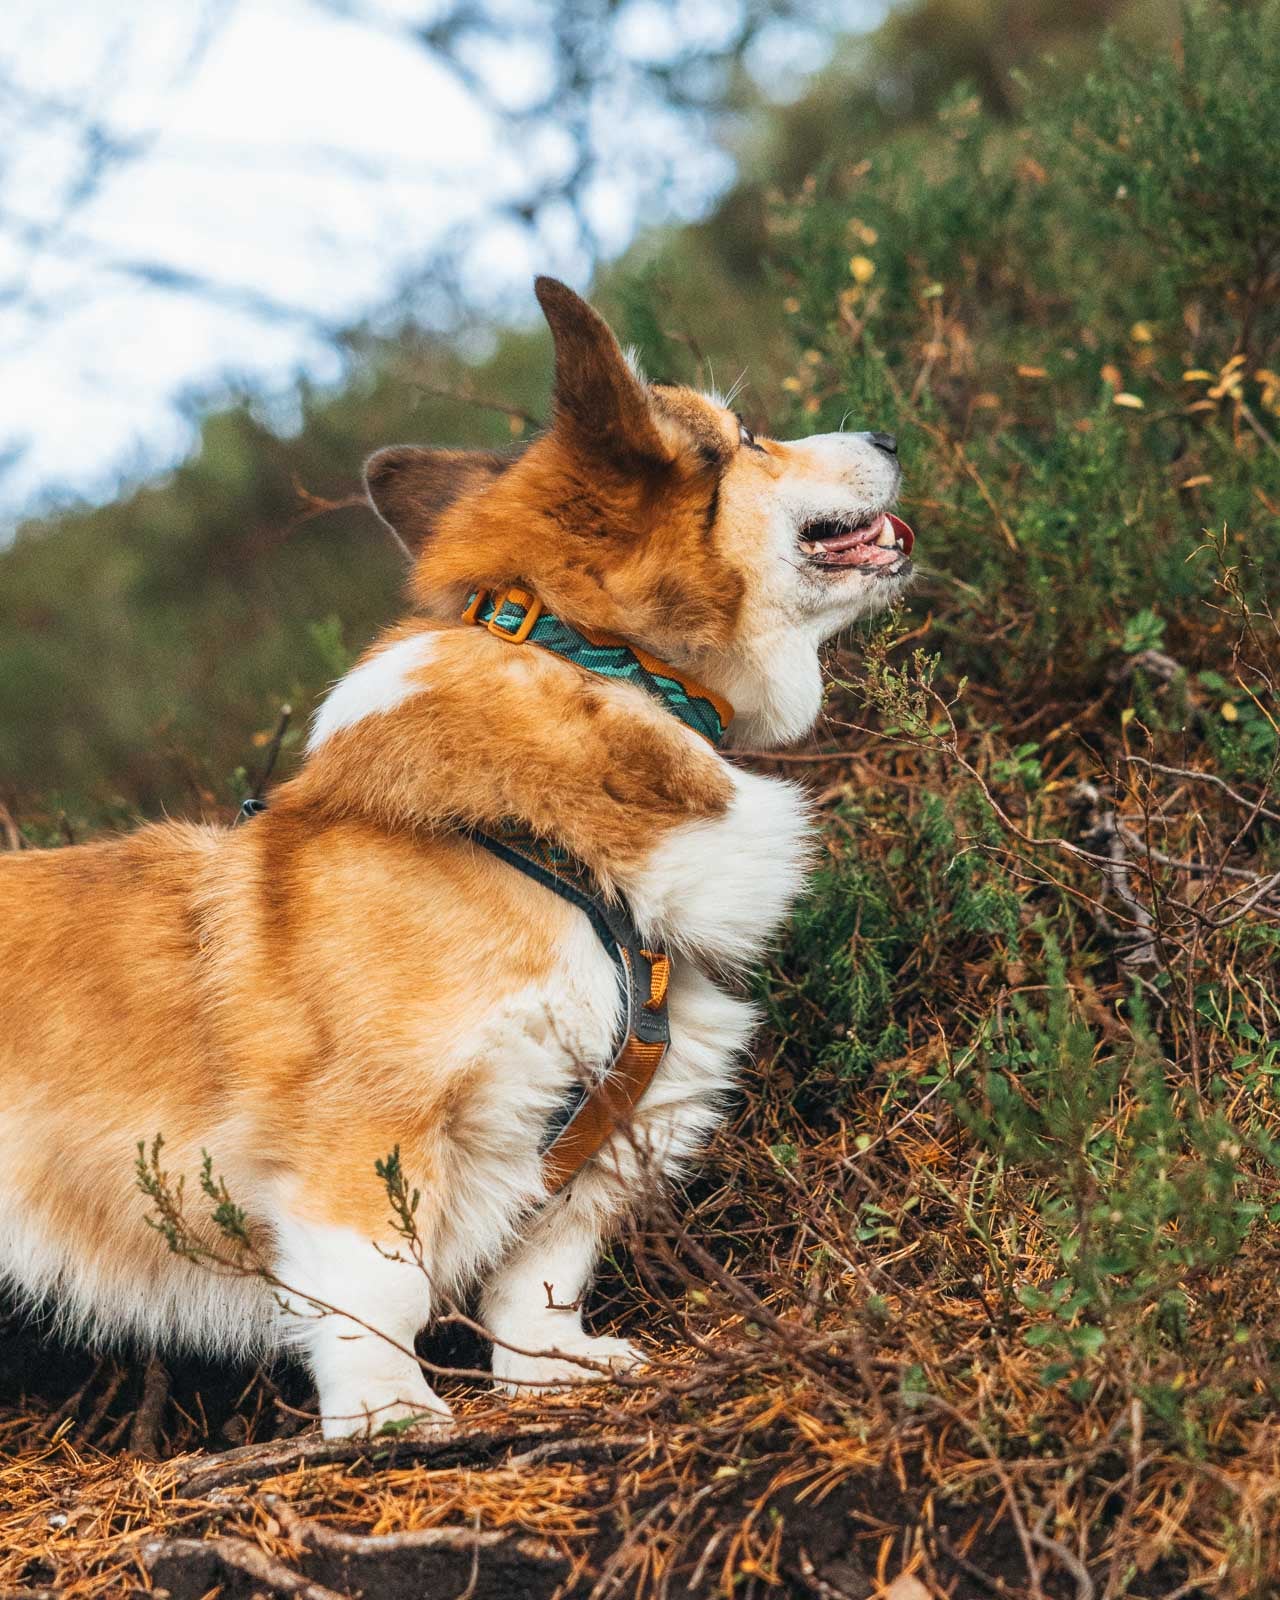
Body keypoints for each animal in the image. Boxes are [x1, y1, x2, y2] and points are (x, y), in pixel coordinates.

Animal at [0, 278, 908, 1440]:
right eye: (743, 439)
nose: (889, 433)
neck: (596, 666)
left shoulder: (607, 1126)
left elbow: (541, 1275)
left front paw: (552, 1371)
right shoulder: (364, 1133)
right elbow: (373, 1291)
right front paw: (389, 1418)